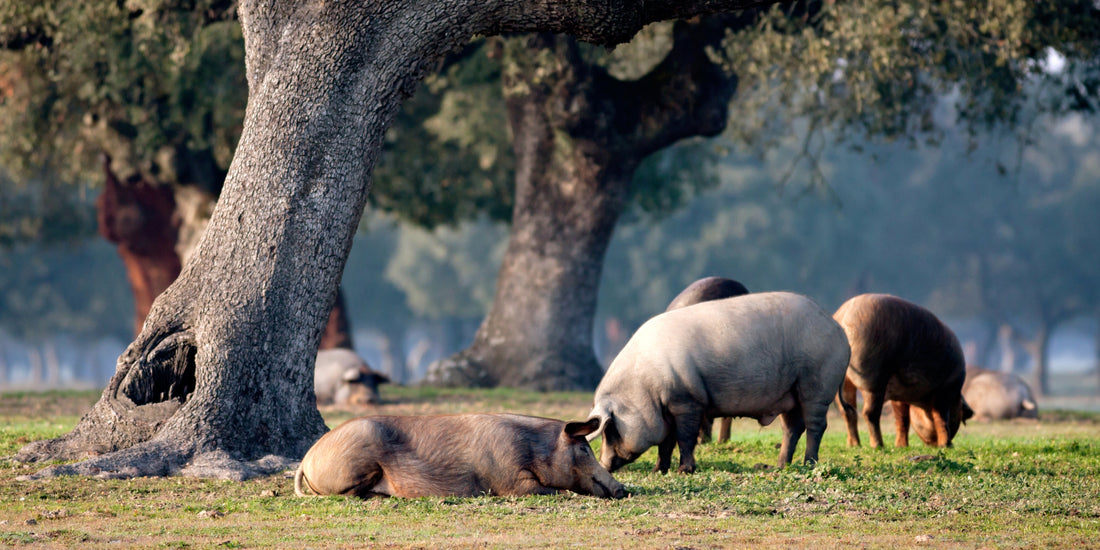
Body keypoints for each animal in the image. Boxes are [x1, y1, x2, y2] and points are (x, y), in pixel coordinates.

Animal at [294, 413, 629, 499]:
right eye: (584, 449)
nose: (623, 489)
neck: (535, 449)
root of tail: (306, 459)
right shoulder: (508, 478)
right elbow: (547, 490)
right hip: (355, 463)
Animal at [831, 294, 972, 448]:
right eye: (960, 411)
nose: (934, 445)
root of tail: (843, 319)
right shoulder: (946, 388)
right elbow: (941, 418)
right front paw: (947, 446)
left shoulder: (899, 395)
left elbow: (902, 418)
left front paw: (901, 446)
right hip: (872, 378)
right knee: (869, 413)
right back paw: (878, 445)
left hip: (844, 380)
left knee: (848, 412)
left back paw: (854, 445)